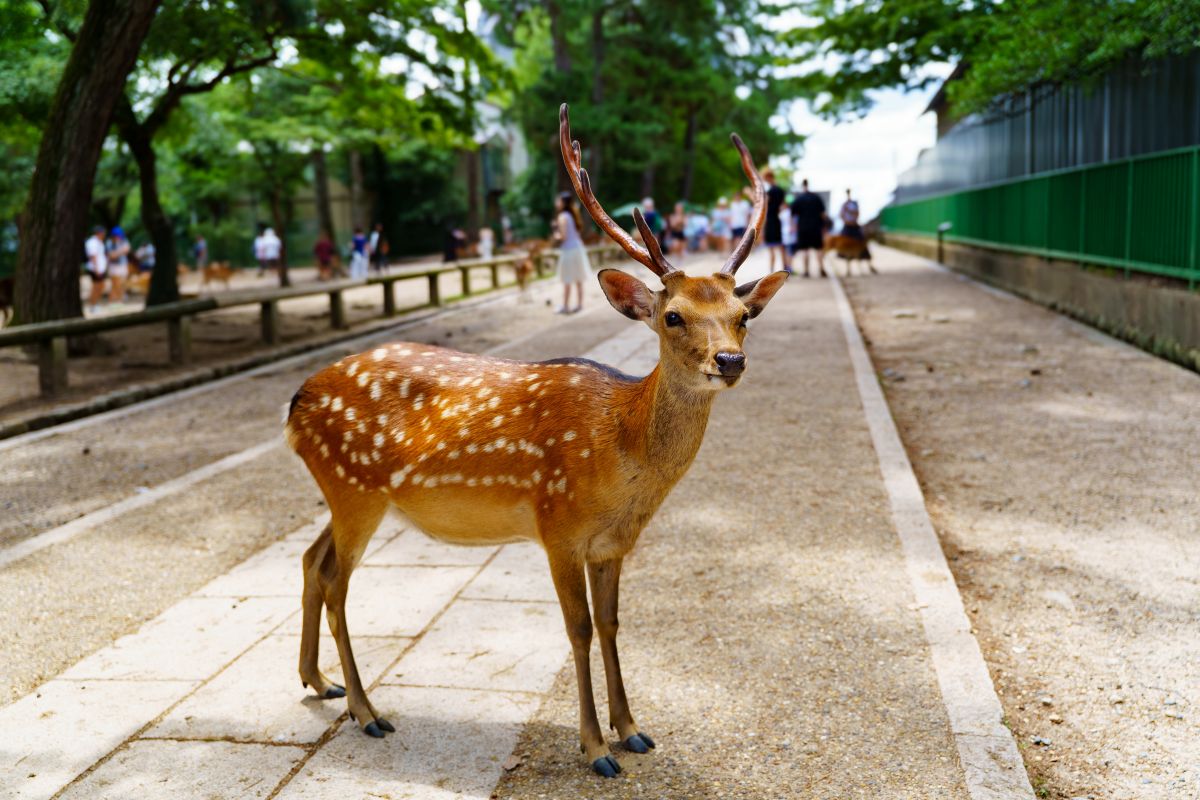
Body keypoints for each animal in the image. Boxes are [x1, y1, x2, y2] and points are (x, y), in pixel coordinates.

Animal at [283, 103, 787, 779]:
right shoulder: (559, 525)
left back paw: (318, 681)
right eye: (673, 315)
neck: (624, 461)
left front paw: (633, 730)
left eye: (743, 315)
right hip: (353, 487)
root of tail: (295, 403)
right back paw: (367, 712)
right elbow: (577, 629)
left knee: (313, 560)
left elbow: (612, 624)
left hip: (348, 493)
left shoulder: (612, 543)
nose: (730, 361)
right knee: (339, 582)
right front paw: (595, 749)